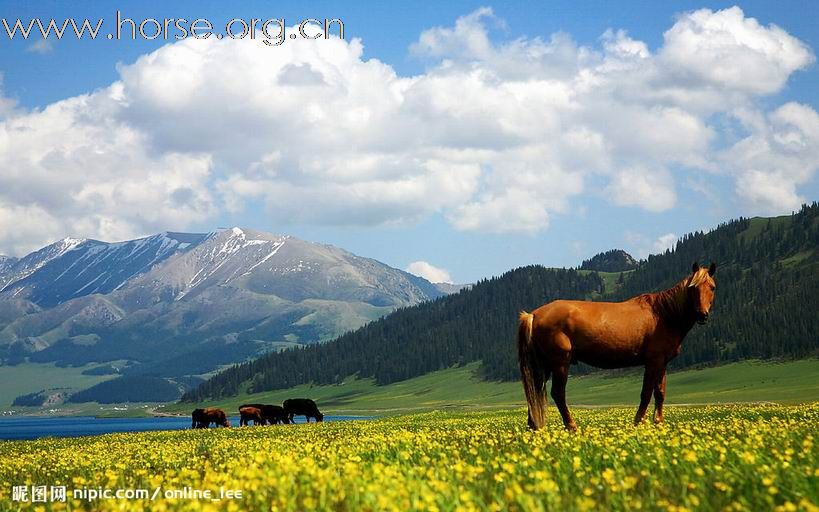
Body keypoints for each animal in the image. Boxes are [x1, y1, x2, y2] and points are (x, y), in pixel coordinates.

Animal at [520, 262, 716, 430]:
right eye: (693, 288)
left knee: (534, 392)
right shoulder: (653, 361)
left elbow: (659, 393)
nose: (702, 315)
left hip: (543, 366)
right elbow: (646, 393)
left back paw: (534, 428)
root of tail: (533, 315)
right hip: (560, 364)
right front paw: (638, 422)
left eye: (712, 287)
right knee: (558, 394)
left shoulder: (663, 363)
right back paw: (571, 426)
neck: (663, 315)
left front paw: (658, 423)